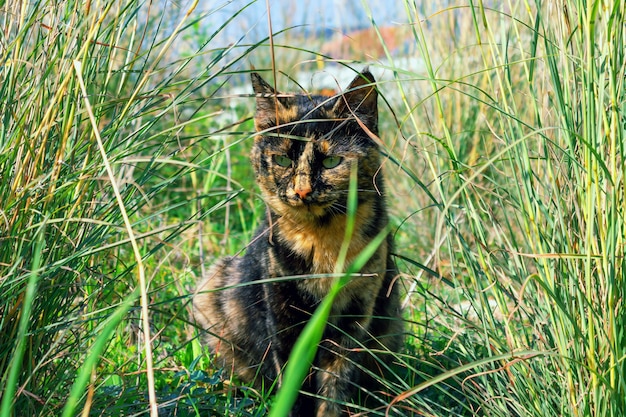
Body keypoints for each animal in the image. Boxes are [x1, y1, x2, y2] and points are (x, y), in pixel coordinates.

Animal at [193, 69, 402, 416]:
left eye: (331, 162)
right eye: (280, 159)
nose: (302, 190)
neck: (324, 245)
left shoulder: (354, 317)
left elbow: (334, 386)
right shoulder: (284, 315)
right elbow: (294, 383)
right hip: (211, 289)